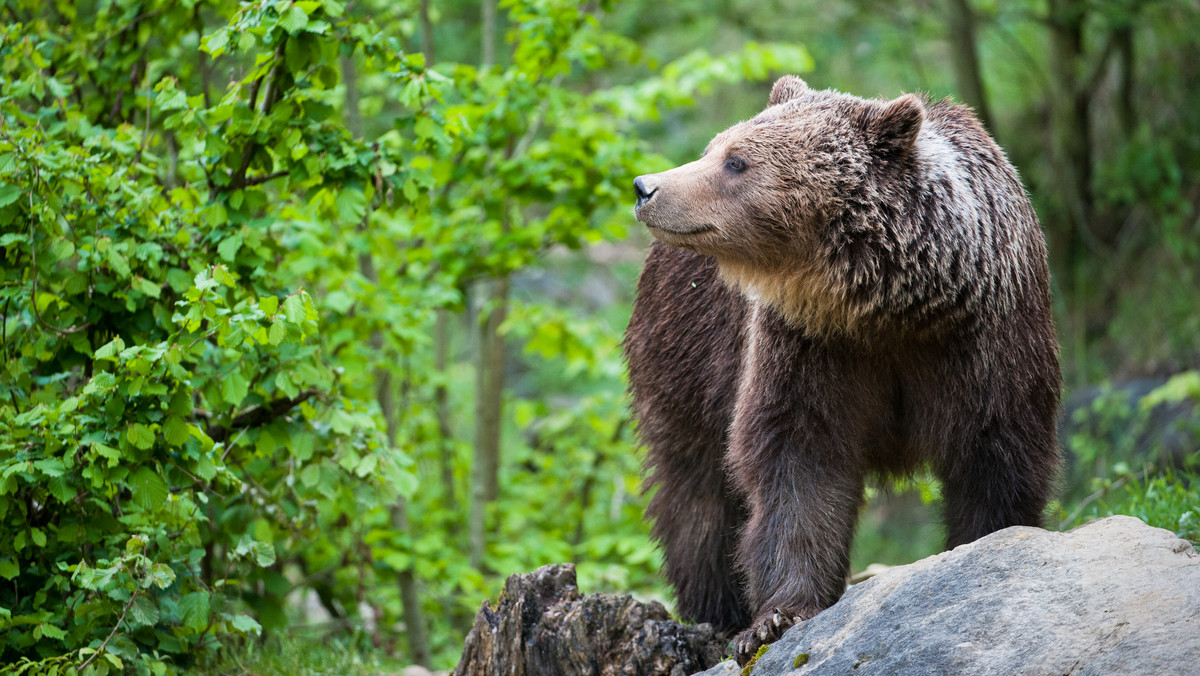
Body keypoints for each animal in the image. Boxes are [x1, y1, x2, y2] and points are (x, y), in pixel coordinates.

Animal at [624, 76, 1065, 662]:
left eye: (735, 160)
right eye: (715, 148)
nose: (645, 186)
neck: (892, 308)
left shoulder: (986, 340)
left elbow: (995, 454)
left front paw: (984, 546)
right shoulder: (808, 347)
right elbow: (799, 463)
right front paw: (774, 619)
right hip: (685, 359)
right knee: (698, 494)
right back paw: (716, 611)